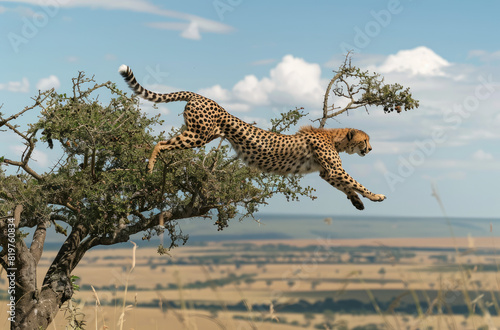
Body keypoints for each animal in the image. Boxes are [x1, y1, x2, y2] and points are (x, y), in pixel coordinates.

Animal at [119, 65, 384, 210]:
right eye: (365, 140)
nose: (370, 150)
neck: (336, 139)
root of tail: (200, 95)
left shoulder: (326, 172)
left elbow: (346, 186)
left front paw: (358, 202)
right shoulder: (334, 168)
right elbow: (356, 182)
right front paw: (376, 195)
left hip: (201, 133)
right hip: (198, 135)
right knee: (160, 143)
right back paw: (150, 167)